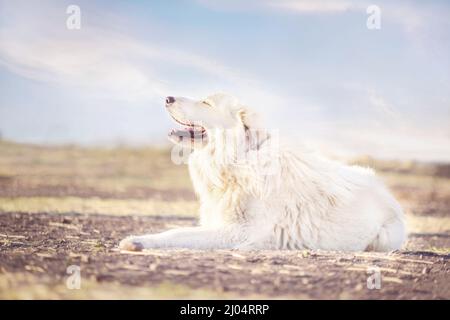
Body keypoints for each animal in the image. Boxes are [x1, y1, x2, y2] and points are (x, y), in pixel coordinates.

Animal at [119, 94, 408, 251]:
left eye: (206, 102)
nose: (167, 98)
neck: (237, 160)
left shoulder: (240, 232)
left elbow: (178, 233)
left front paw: (137, 241)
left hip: (384, 238)